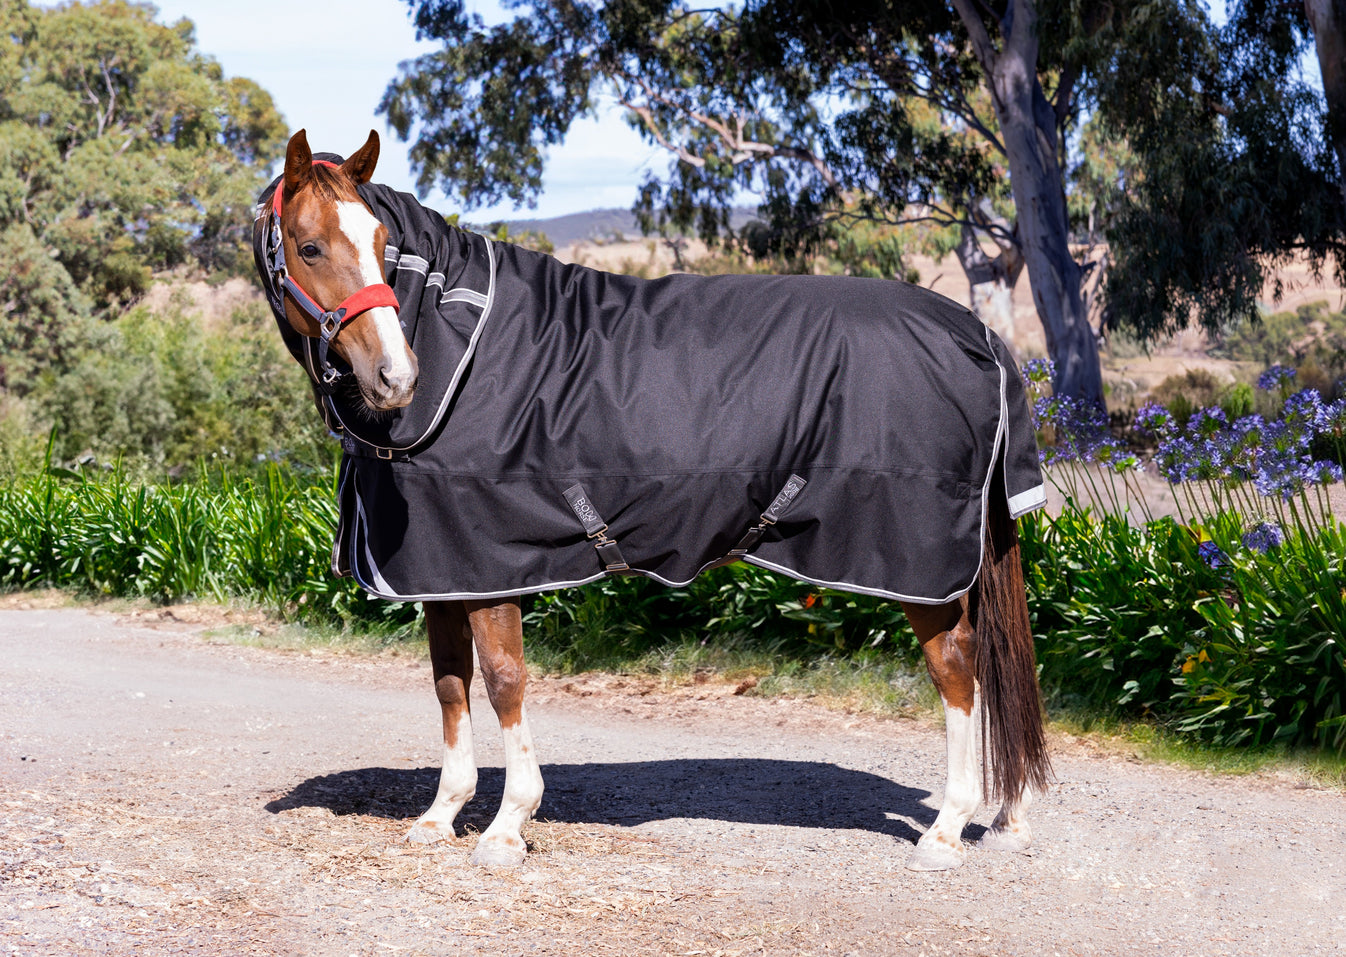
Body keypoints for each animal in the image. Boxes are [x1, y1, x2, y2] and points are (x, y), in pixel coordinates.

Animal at [253, 128, 1052, 871]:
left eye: (379, 240)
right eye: (311, 246)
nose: (396, 376)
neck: (467, 354)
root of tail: (977, 332)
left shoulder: (491, 566)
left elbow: (506, 681)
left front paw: (508, 826)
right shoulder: (443, 572)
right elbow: (452, 686)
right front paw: (440, 814)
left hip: (920, 567)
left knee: (957, 668)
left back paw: (946, 829)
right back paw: (1006, 817)